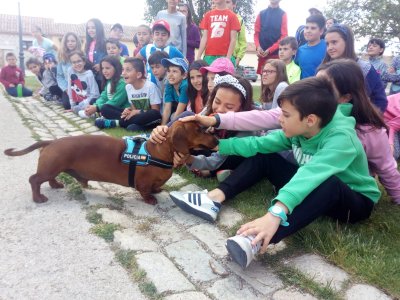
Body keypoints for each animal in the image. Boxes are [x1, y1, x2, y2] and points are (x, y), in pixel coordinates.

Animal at [3, 120, 219, 205]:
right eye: (199, 129)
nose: (218, 140)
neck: (157, 152)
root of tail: (51, 142)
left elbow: (156, 187)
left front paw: (157, 191)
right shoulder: (143, 183)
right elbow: (145, 191)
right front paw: (151, 199)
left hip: (54, 168)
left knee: (48, 179)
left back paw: (56, 185)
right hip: (50, 167)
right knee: (34, 180)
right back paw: (38, 198)